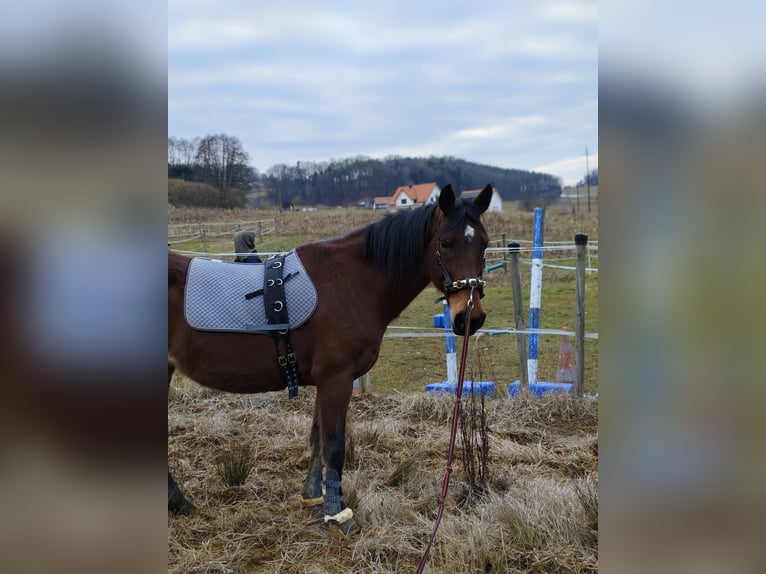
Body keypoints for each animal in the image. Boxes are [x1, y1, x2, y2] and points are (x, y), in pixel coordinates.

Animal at [168, 184, 493, 535]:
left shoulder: (324, 381)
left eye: (485, 243)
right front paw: (338, 514)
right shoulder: (336, 379)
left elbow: (316, 440)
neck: (351, 281)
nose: (470, 318)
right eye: (445, 243)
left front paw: (313, 498)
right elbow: (334, 446)